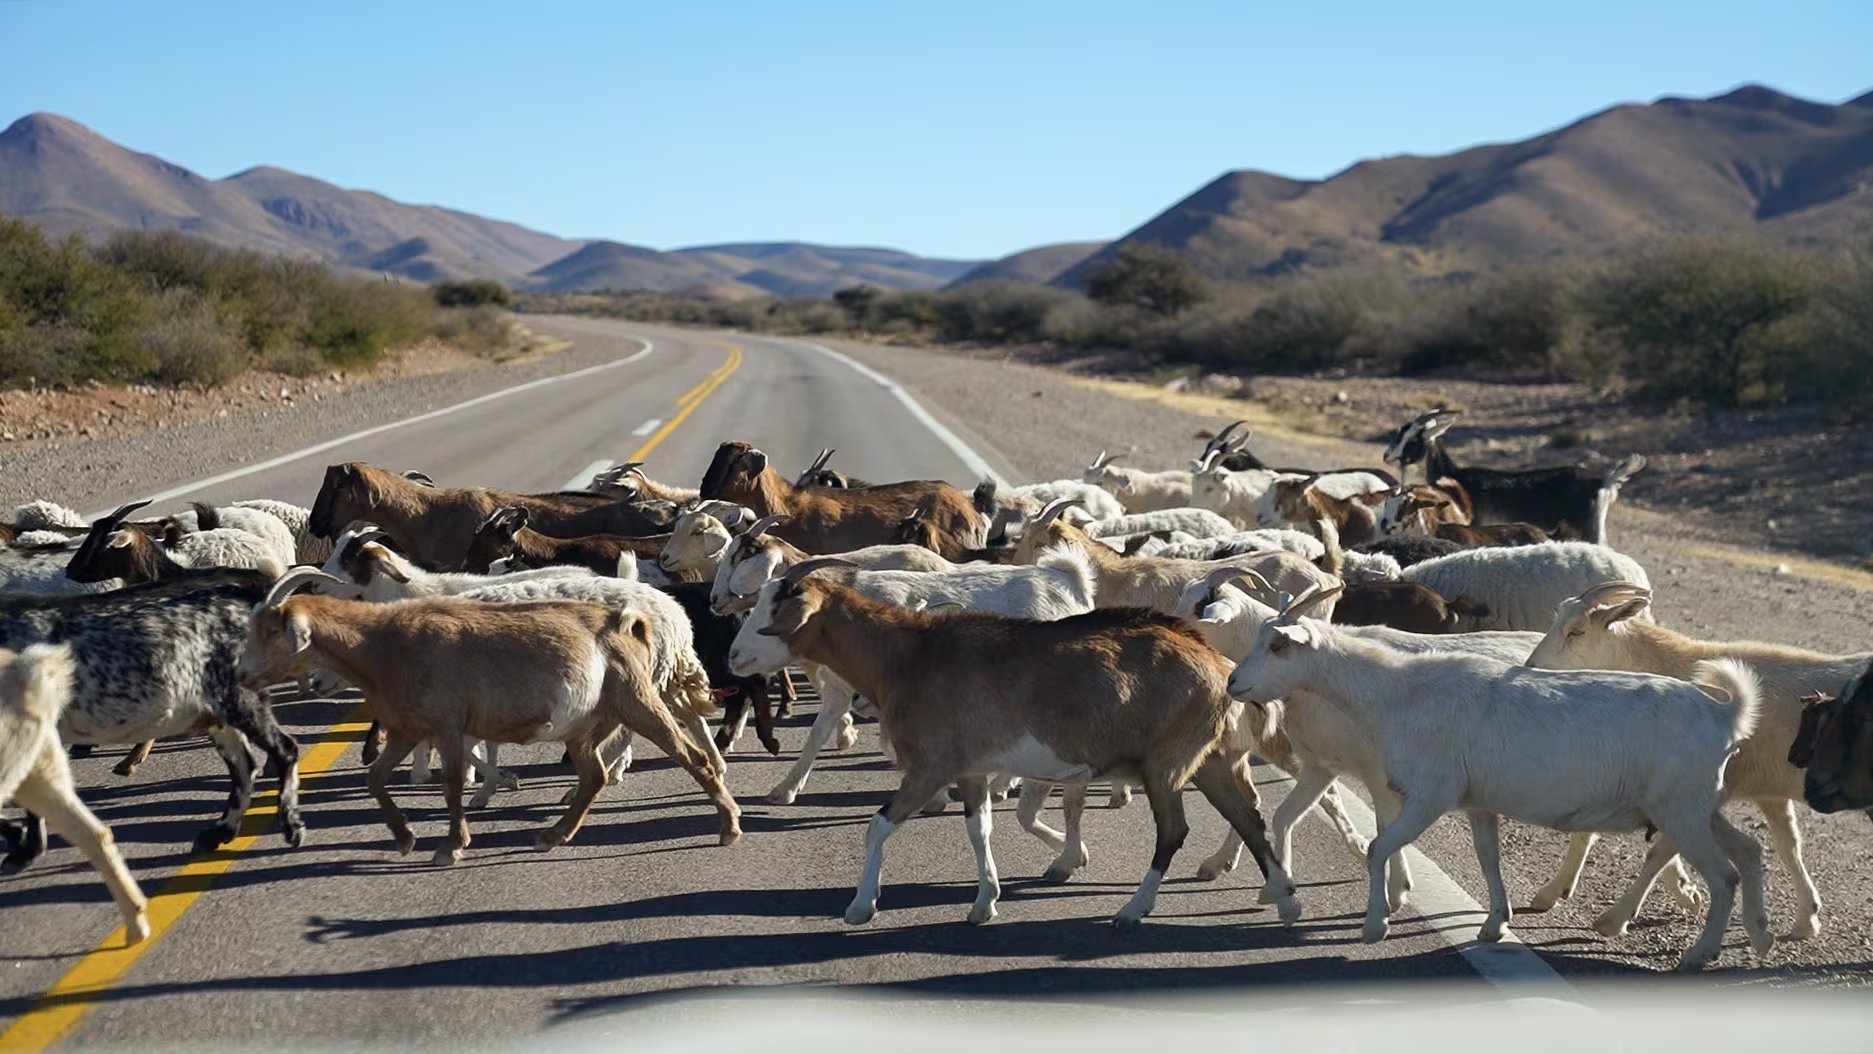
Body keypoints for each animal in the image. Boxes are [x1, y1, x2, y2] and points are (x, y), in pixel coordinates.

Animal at [237, 570, 738, 862]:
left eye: (271, 630)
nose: (241, 673)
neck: (385, 644)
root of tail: (628, 622)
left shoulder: (447, 726)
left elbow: (451, 786)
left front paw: (450, 846)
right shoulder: (408, 729)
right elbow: (376, 778)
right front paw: (405, 839)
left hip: (637, 700)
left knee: (692, 756)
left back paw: (729, 827)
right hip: (586, 726)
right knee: (593, 775)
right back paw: (552, 836)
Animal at [727, 562, 1301, 928]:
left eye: (773, 609)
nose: (734, 656)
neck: (909, 656)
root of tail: (1218, 664)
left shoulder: (930, 768)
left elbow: (879, 825)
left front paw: (860, 907)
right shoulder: (971, 771)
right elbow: (979, 829)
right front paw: (985, 904)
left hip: (1166, 766)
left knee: (1175, 829)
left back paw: (1133, 910)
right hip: (1211, 761)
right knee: (1248, 817)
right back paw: (1286, 902)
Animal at [1226, 585, 1771, 970]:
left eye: (1277, 644)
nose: (1234, 683)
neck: (1398, 691)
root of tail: (1725, 715)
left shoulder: (1431, 794)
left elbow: (1380, 847)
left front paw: (1375, 925)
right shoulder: (1477, 801)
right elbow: (1488, 859)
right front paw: (1494, 926)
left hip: (1681, 811)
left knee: (1724, 875)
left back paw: (1699, 954)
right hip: (1701, 808)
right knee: (1749, 851)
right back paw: (1760, 937)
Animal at [1527, 582, 1872, 940]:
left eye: (1577, 631)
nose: (1531, 668)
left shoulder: (1698, 789)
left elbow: (1656, 849)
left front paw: (1616, 916)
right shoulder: (1766, 793)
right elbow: (1789, 845)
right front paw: (1807, 918)